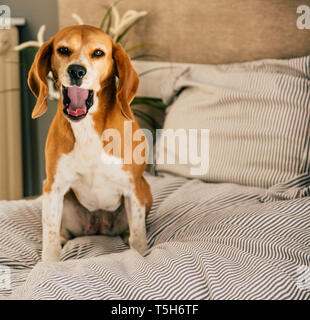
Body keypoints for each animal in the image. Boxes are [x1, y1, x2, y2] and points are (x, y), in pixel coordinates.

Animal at [28, 24, 152, 260]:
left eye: (98, 53)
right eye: (63, 50)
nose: (76, 71)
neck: (86, 127)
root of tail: (98, 227)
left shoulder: (133, 188)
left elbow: (139, 238)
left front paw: (141, 255)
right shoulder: (53, 187)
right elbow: (50, 238)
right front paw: (49, 263)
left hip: (145, 192)